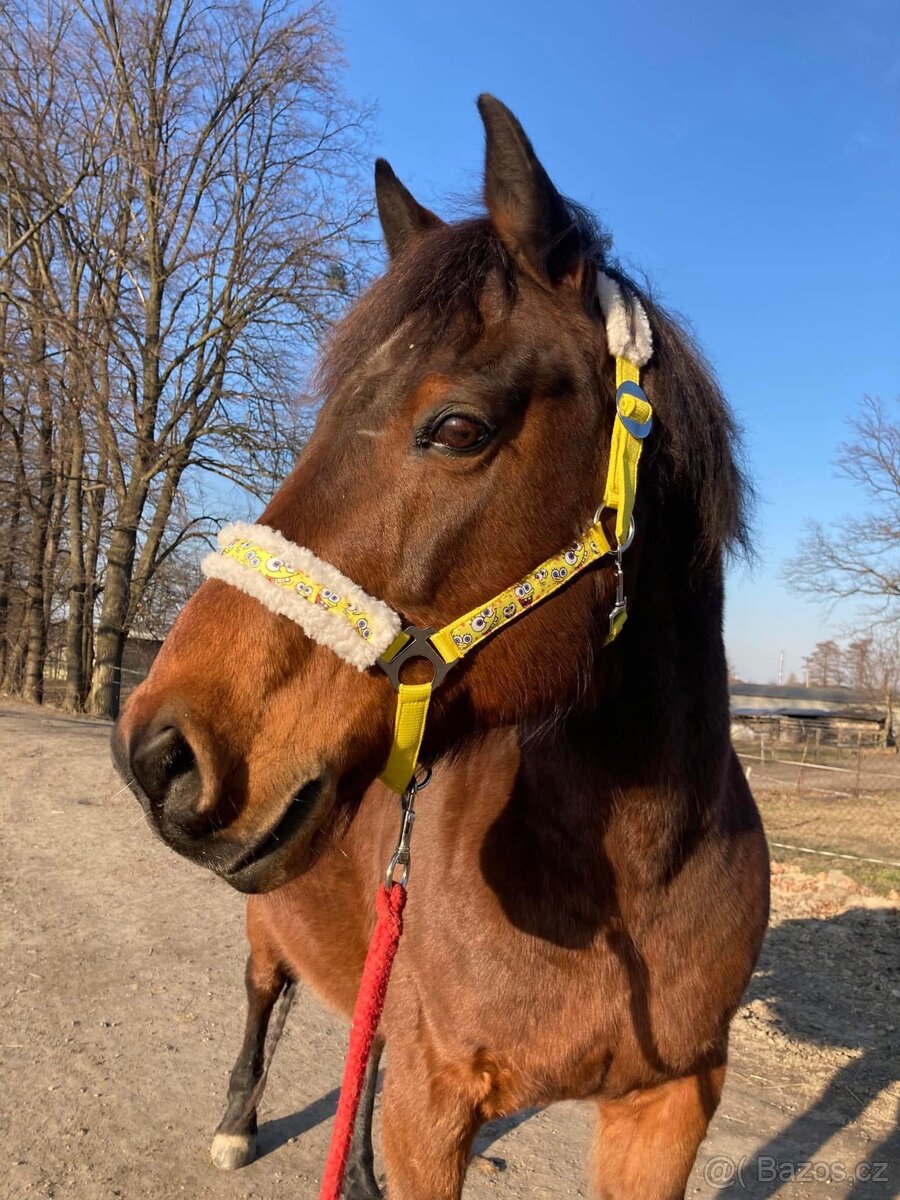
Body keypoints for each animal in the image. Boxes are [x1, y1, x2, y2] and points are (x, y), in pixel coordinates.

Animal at [113, 94, 769, 1200]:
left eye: (458, 428)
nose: (158, 753)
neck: (636, 875)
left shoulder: (669, 1105)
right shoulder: (435, 1108)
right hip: (269, 923)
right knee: (261, 993)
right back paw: (239, 1120)